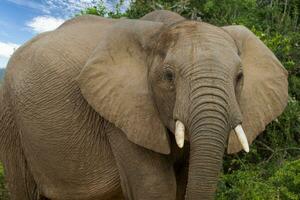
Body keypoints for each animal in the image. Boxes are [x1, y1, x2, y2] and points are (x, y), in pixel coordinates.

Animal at [0, 9, 288, 200]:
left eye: (239, 77)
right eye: (168, 76)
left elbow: (184, 182)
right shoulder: (121, 113)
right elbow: (156, 188)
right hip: (9, 116)